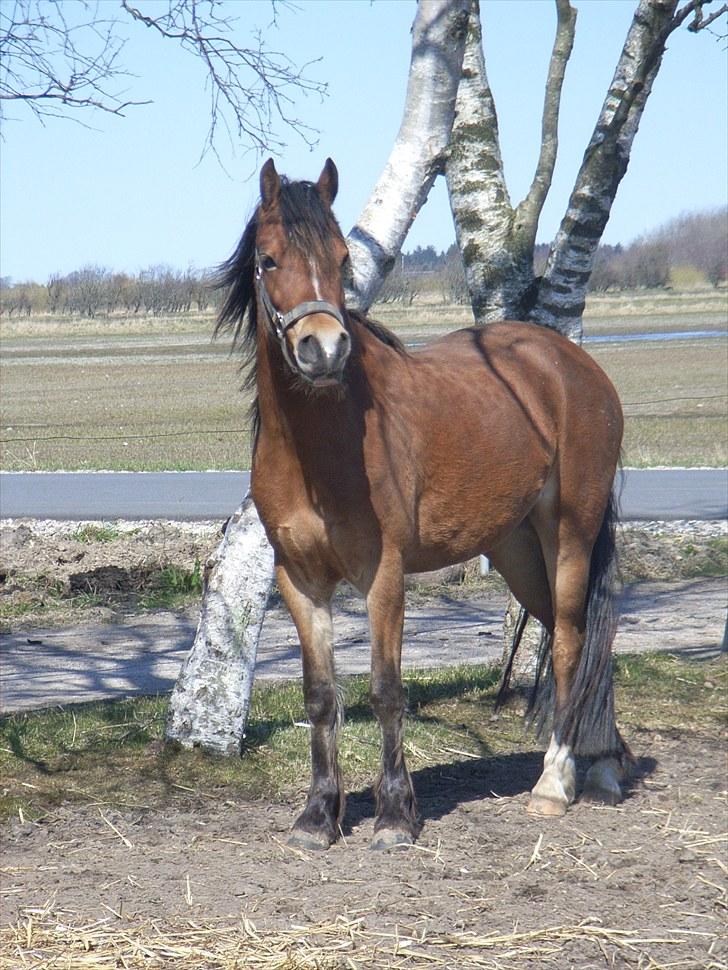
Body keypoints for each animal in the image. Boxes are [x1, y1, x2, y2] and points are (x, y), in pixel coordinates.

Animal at [216, 158, 629, 851]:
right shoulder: (299, 580)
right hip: (518, 552)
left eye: (342, 259)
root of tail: (576, 366)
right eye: (268, 260)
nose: (324, 349)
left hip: (569, 534)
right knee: (571, 636)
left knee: (572, 640)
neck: (319, 447)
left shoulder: (383, 575)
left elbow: (386, 690)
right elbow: (320, 696)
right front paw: (317, 816)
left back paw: (555, 781)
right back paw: (604, 762)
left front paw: (394, 814)